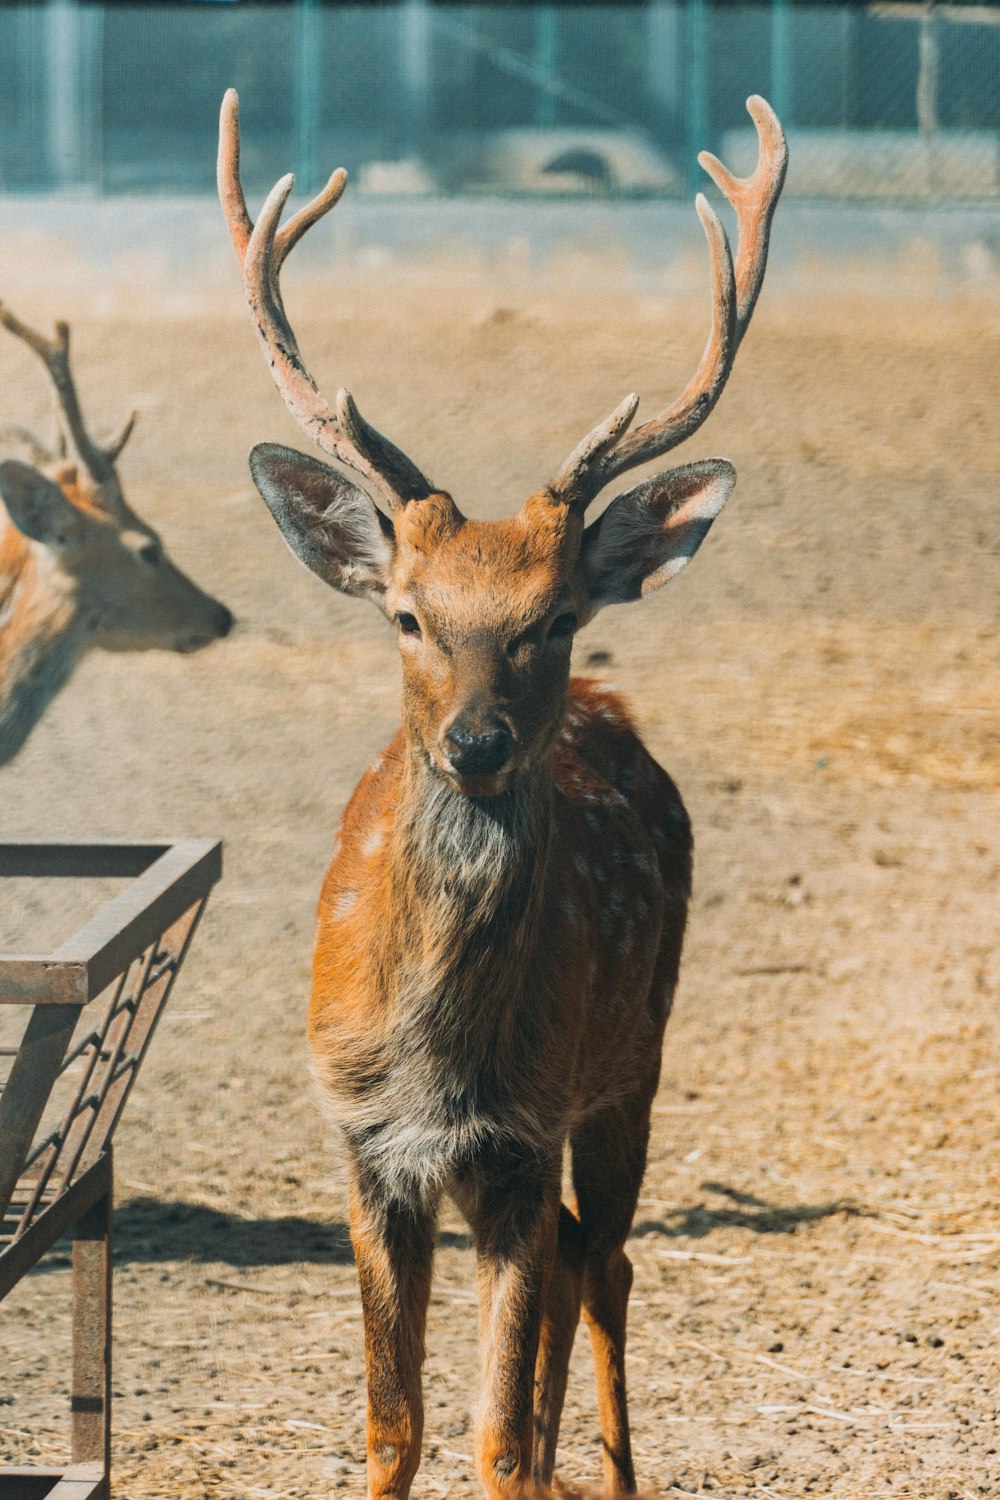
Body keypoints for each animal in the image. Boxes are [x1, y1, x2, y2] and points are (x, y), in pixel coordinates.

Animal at [220, 87, 791, 1494]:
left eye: (556, 617)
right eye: (409, 615)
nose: (476, 741)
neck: (440, 1062)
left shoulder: (523, 1131)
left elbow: (492, 1435)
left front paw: (535, 1448)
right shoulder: (365, 1139)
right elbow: (396, 1424)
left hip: (635, 1050)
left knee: (609, 1257)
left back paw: (621, 1471)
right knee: (581, 1262)